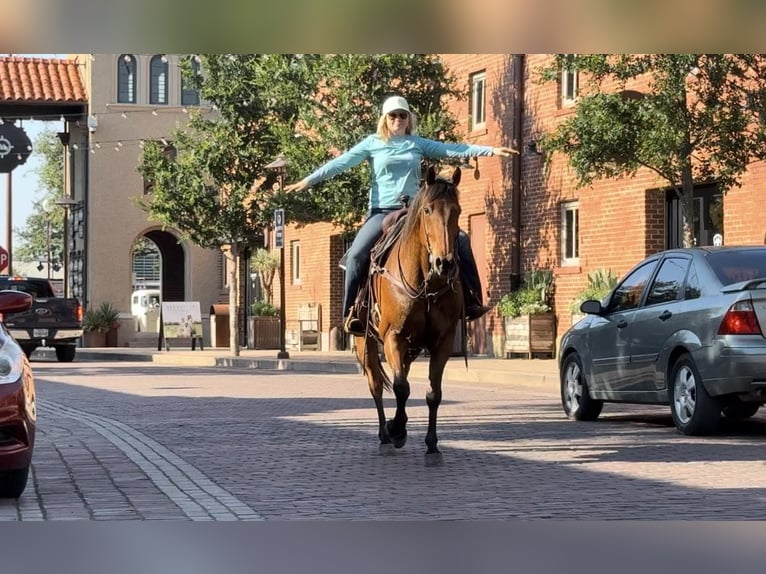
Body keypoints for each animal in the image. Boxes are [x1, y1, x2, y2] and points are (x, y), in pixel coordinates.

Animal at [352, 165, 462, 468]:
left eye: (458, 211)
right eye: (427, 210)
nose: (444, 263)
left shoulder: (443, 341)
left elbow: (433, 394)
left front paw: (432, 446)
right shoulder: (394, 336)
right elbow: (401, 388)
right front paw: (396, 429)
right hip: (364, 341)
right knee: (376, 385)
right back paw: (384, 436)